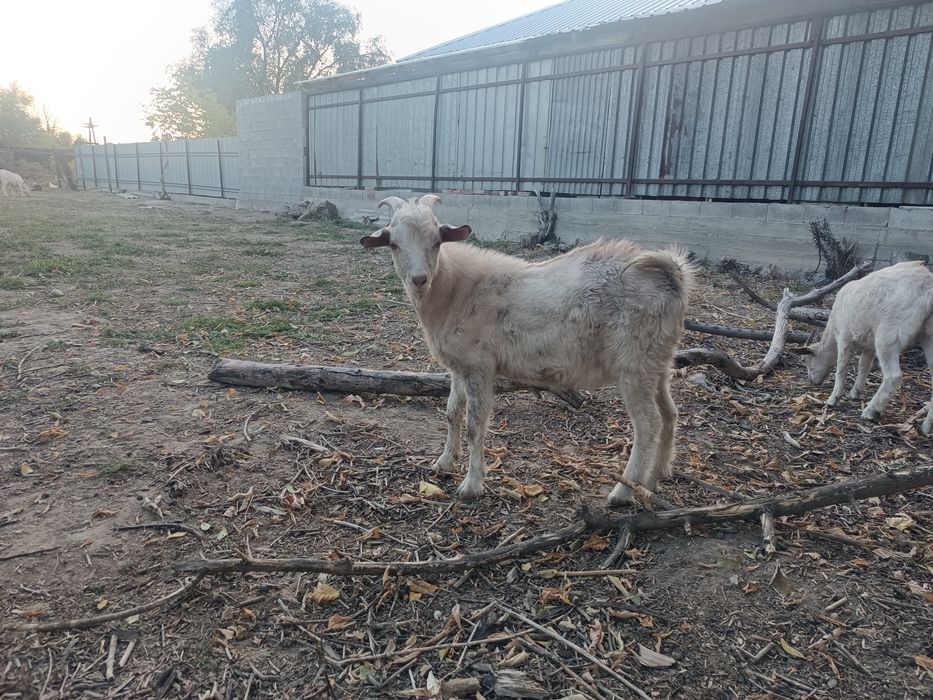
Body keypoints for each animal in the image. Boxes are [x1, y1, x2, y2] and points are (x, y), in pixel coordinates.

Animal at [361, 194, 694, 504]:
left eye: (437, 241)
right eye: (394, 244)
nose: (419, 279)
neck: (456, 291)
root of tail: (671, 274)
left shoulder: (480, 366)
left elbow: (474, 424)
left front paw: (471, 484)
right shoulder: (459, 367)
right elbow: (451, 411)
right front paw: (444, 462)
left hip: (633, 363)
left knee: (648, 425)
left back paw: (623, 492)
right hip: (658, 361)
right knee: (670, 413)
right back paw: (656, 476)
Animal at [790, 261, 933, 434]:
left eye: (806, 360)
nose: (812, 381)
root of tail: (928, 289)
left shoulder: (844, 336)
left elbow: (842, 367)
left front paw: (833, 399)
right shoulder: (869, 345)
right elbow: (863, 365)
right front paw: (856, 393)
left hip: (889, 333)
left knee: (894, 376)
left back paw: (871, 411)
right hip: (928, 336)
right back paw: (926, 427)